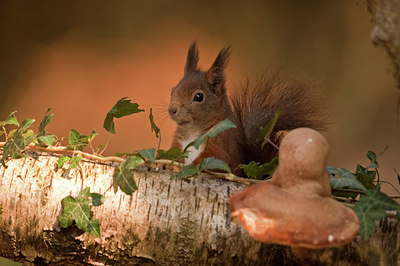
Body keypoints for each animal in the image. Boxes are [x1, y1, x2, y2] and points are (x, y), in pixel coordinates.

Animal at [167, 41, 326, 175]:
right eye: (173, 90)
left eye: (199, 97)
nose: (172, 110)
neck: (194, 131)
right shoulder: (179, 142)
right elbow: (173, 152)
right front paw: (168, 163)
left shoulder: (222, 141)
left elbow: (217, 159)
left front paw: (191, 166)